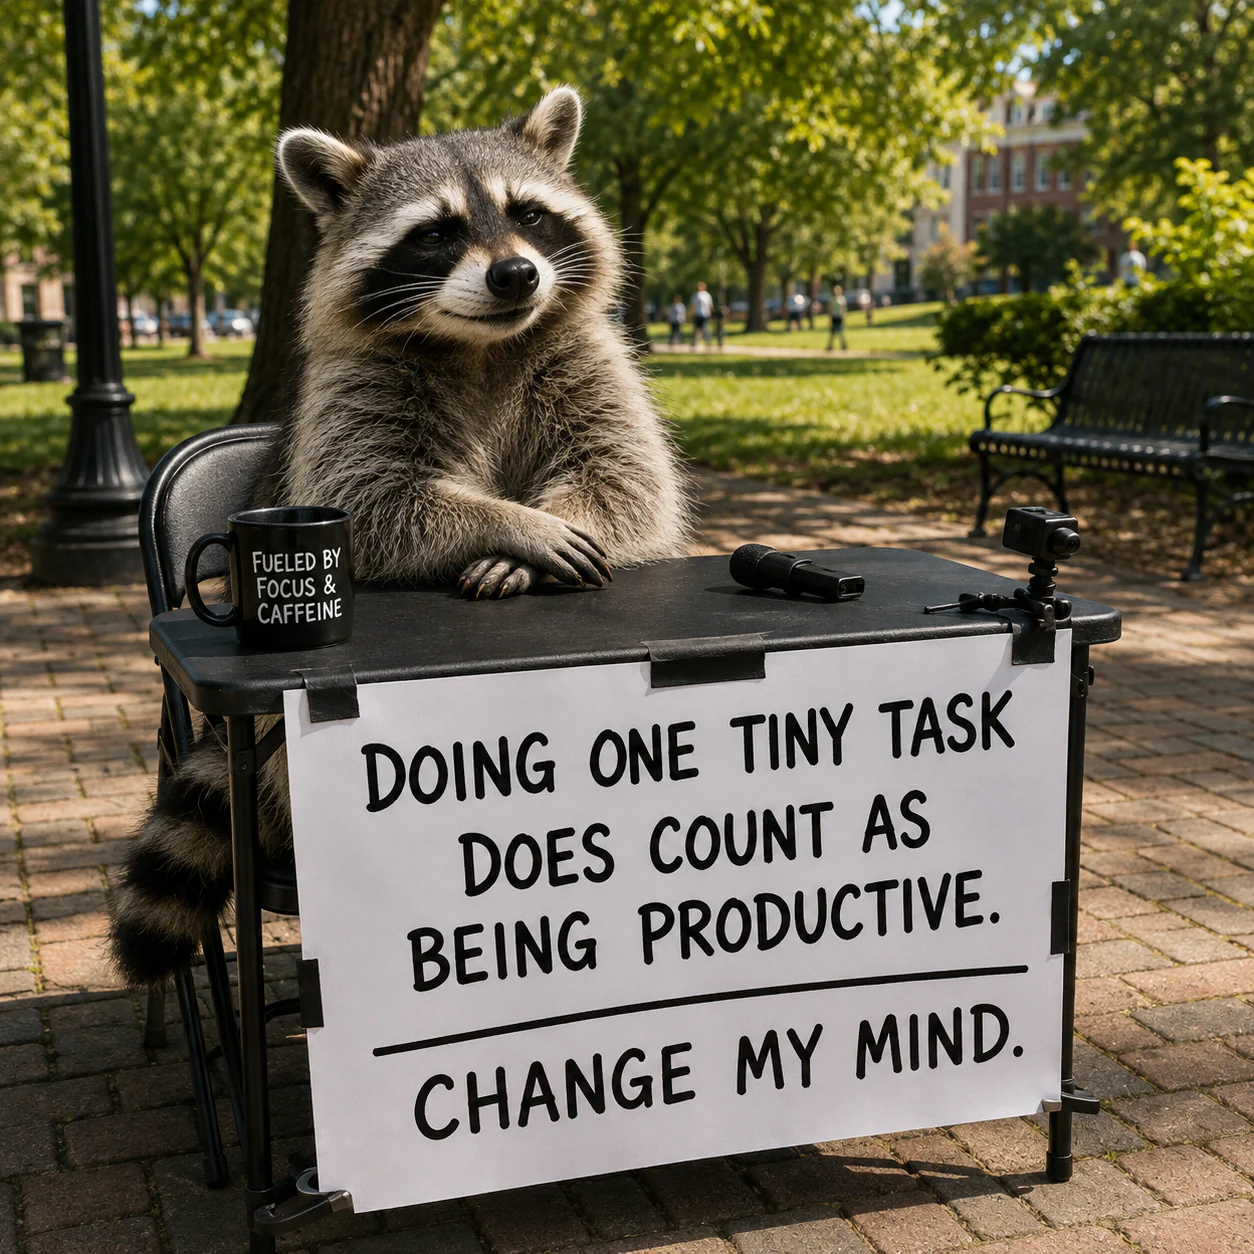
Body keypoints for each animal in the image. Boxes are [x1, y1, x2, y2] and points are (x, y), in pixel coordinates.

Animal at [109, 87, 693, 988]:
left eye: (528, 213)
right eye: (438, 231)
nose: (516, 274)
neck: (482, 341)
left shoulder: (588, 360)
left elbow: (626, 479)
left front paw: (539, 531)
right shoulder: (354, 391)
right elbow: (378, 503)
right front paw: (512, 526)